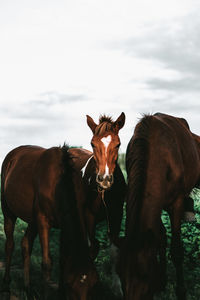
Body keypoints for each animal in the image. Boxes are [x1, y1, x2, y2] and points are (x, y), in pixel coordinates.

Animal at [0, 144, 97, 298]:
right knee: (9, 245)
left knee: (26, 244)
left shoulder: (63, 223)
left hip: (32, 220)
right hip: (8, 210)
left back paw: (28, 287)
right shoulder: (43, 221)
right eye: (72, 288)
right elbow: (47, 263)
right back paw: (5, 285)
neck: (57, 184)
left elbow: (63, 260)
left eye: (93, 286)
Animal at [119, 112, 200, 300]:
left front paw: (181, 291)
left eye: (144, 276)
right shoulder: (155, 203)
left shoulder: (176, 204)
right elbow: (160, 238)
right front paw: (162, 281)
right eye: (120, 276)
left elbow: (177, 250)